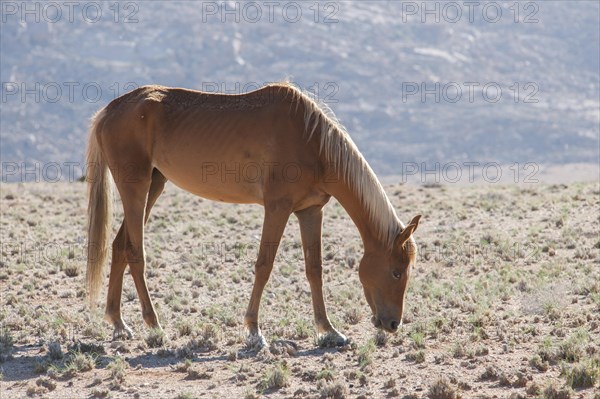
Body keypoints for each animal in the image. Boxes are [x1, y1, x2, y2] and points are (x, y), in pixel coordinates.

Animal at [84, 83, 422, 348]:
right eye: (396, 272)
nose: (393, 324)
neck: (313, 141)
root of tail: (108, 111)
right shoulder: (277, 207)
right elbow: (264, 265)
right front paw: (254, 331)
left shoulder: (310, 211)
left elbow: (314, 269)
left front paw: (328, 330)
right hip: (137, 188)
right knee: (134, 251)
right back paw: (154, 325)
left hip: (155, 184)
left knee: (119, 245)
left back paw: (118, 323)